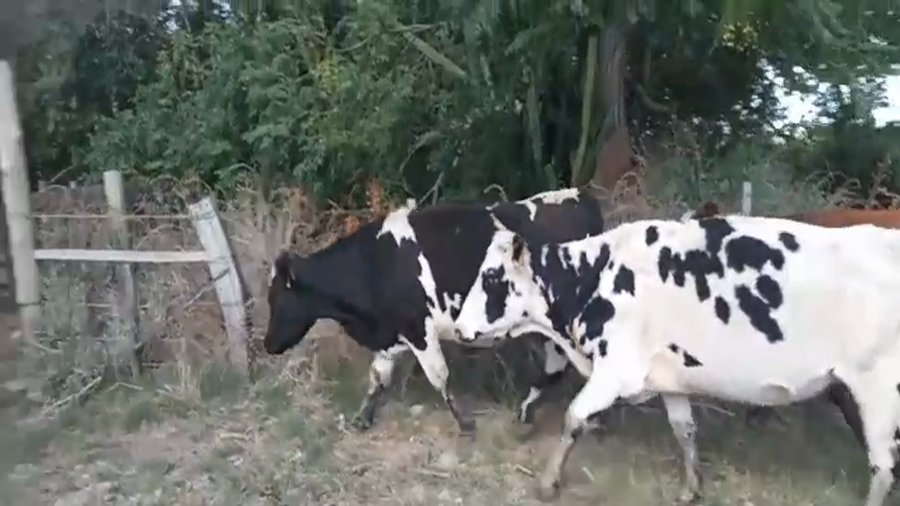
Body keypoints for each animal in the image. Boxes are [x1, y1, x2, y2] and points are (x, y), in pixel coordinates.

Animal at [264, 188, 604, 436]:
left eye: (277, 299)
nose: (268, 345)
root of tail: (581, 196)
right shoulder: (391, 335)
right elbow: (378, 377)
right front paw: (363, 418)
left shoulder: (419, 329)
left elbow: (439, 377)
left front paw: (464, 423)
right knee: (556, 366)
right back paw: (528, 413)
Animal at [453, 215, 900, 506]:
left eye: (491, 277)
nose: (458, 328)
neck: (595, 277)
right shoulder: (669, 377)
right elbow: (685, 431)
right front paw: (691, 488)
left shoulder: (616, 370)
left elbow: (574, 417)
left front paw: (548, 484)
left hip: (876, 389)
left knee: (883, 465)